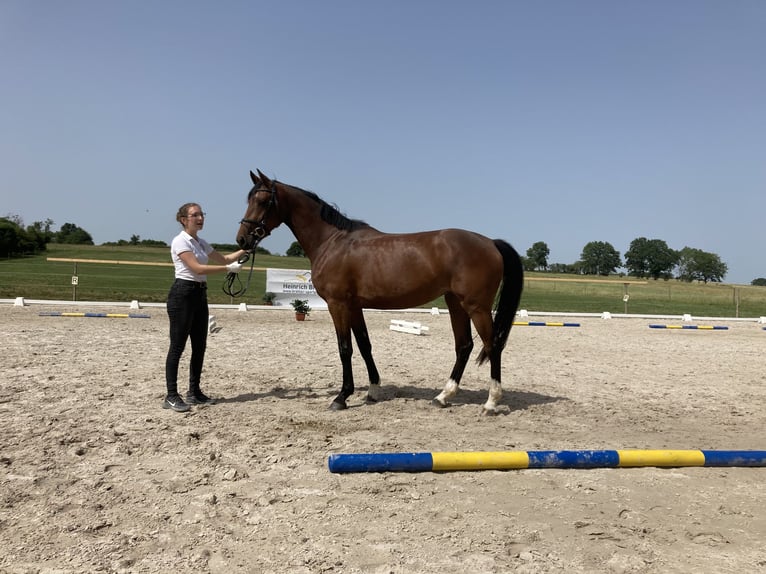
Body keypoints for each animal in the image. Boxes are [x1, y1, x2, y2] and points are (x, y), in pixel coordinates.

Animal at [237, 170, 524, 414]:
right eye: (249, 198)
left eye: (263, 200)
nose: (242, 239)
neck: (332, 242)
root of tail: (491, 243)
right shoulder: (354, 306)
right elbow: (365, 345)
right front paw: (373, 390)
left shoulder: (337, 304)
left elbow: (345, 348)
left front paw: (341, 397)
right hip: (456, 303)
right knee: (464, 346)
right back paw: (443, 396)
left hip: (476, 306)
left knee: (492, 345)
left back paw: (491, 402)